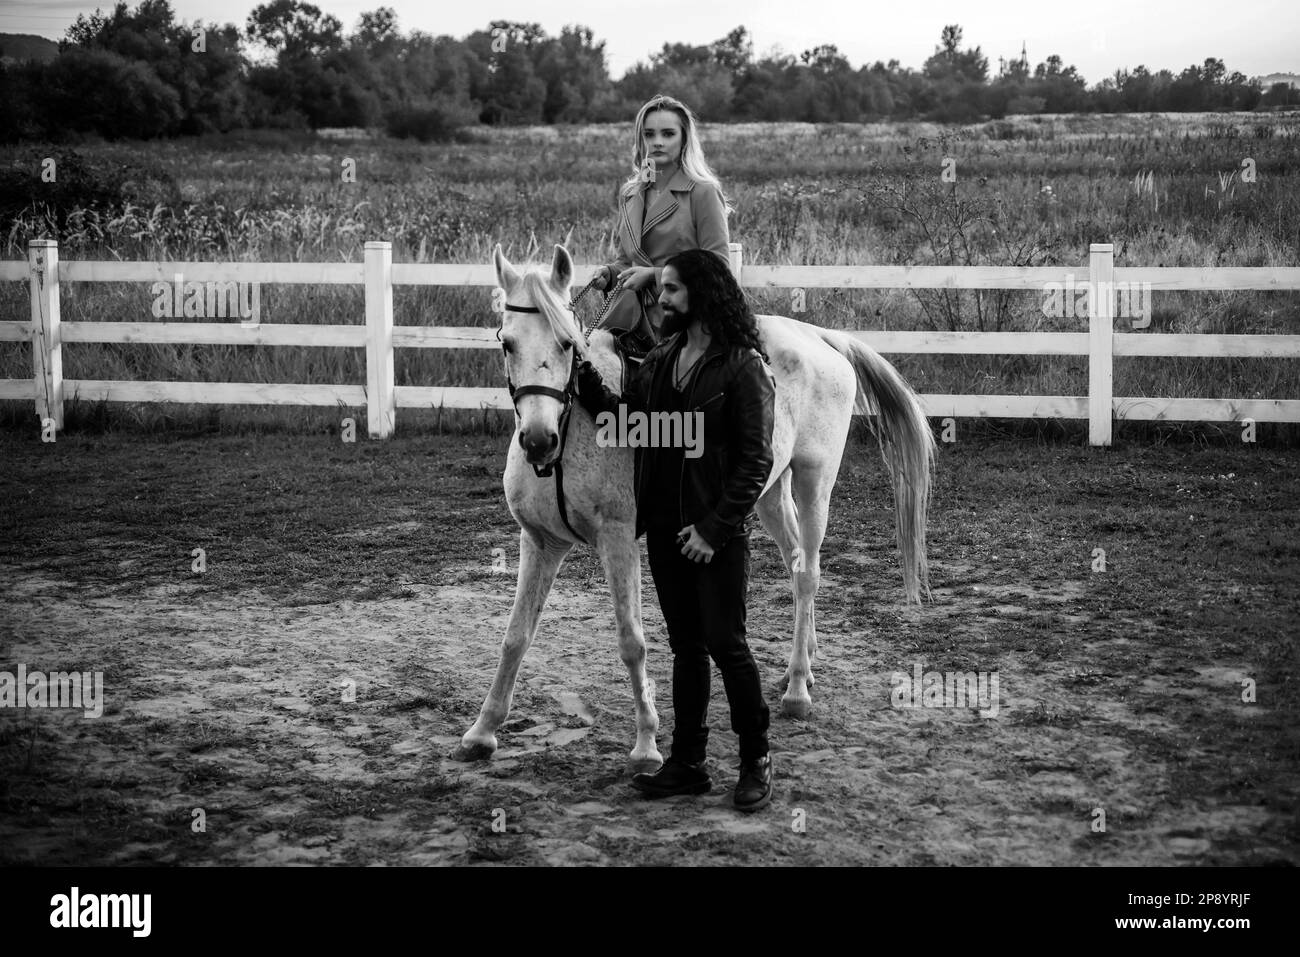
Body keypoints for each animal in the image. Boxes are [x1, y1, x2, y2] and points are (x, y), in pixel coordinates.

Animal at [457, 244, 935, 769]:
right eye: (508, 344)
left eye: (567, 345)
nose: (539, 440)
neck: (575, 422)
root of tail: (817, 336)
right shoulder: (540, 542)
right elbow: (515, 636)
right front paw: (482, 731)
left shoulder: (618, 539)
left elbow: (631, 642)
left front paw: (646, 743)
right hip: (767, 492)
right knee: (796, 565)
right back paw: (803, 665)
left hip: (815, 482)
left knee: (808, 572)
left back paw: (796, 690)